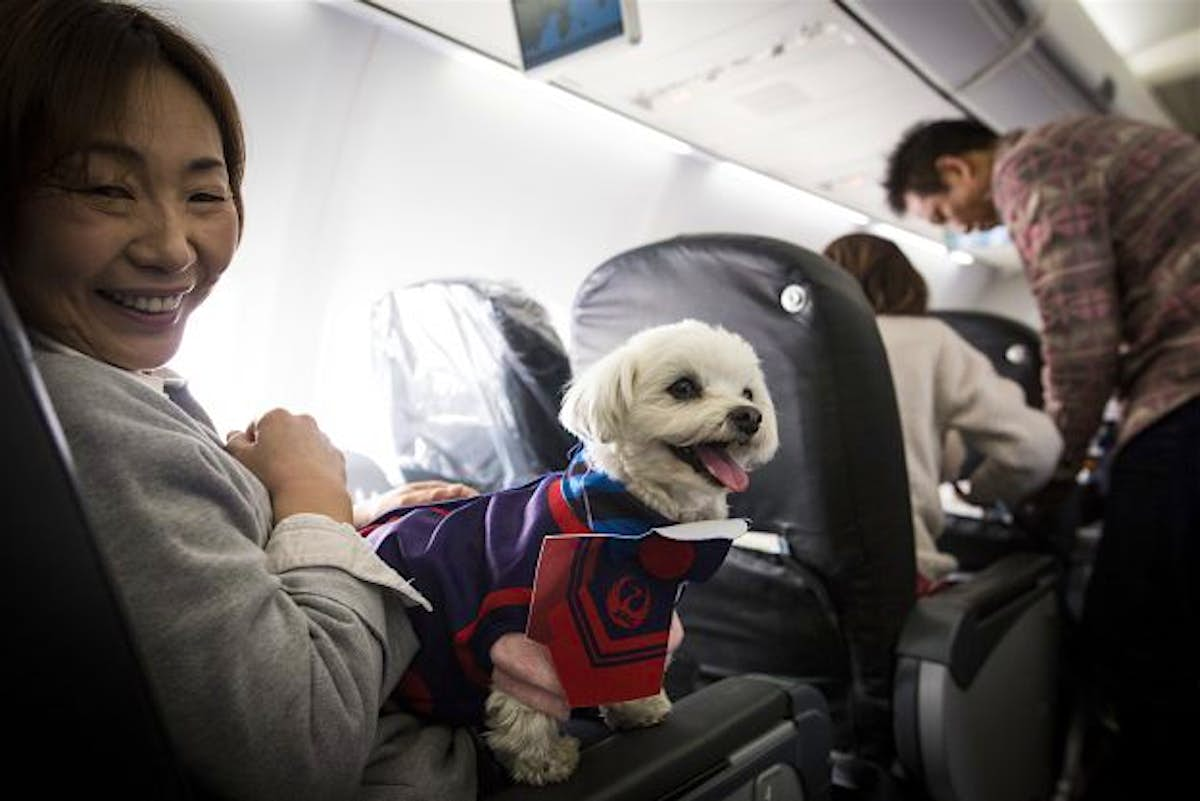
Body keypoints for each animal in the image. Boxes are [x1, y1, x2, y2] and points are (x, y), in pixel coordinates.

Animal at [482, 316, 782, 781]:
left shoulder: (627, 622)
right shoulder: (522, 629)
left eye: (748, 393)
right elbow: (524, 703)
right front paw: (542, 761)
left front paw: (637, 709)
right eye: (683, 387)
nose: (750, 417)